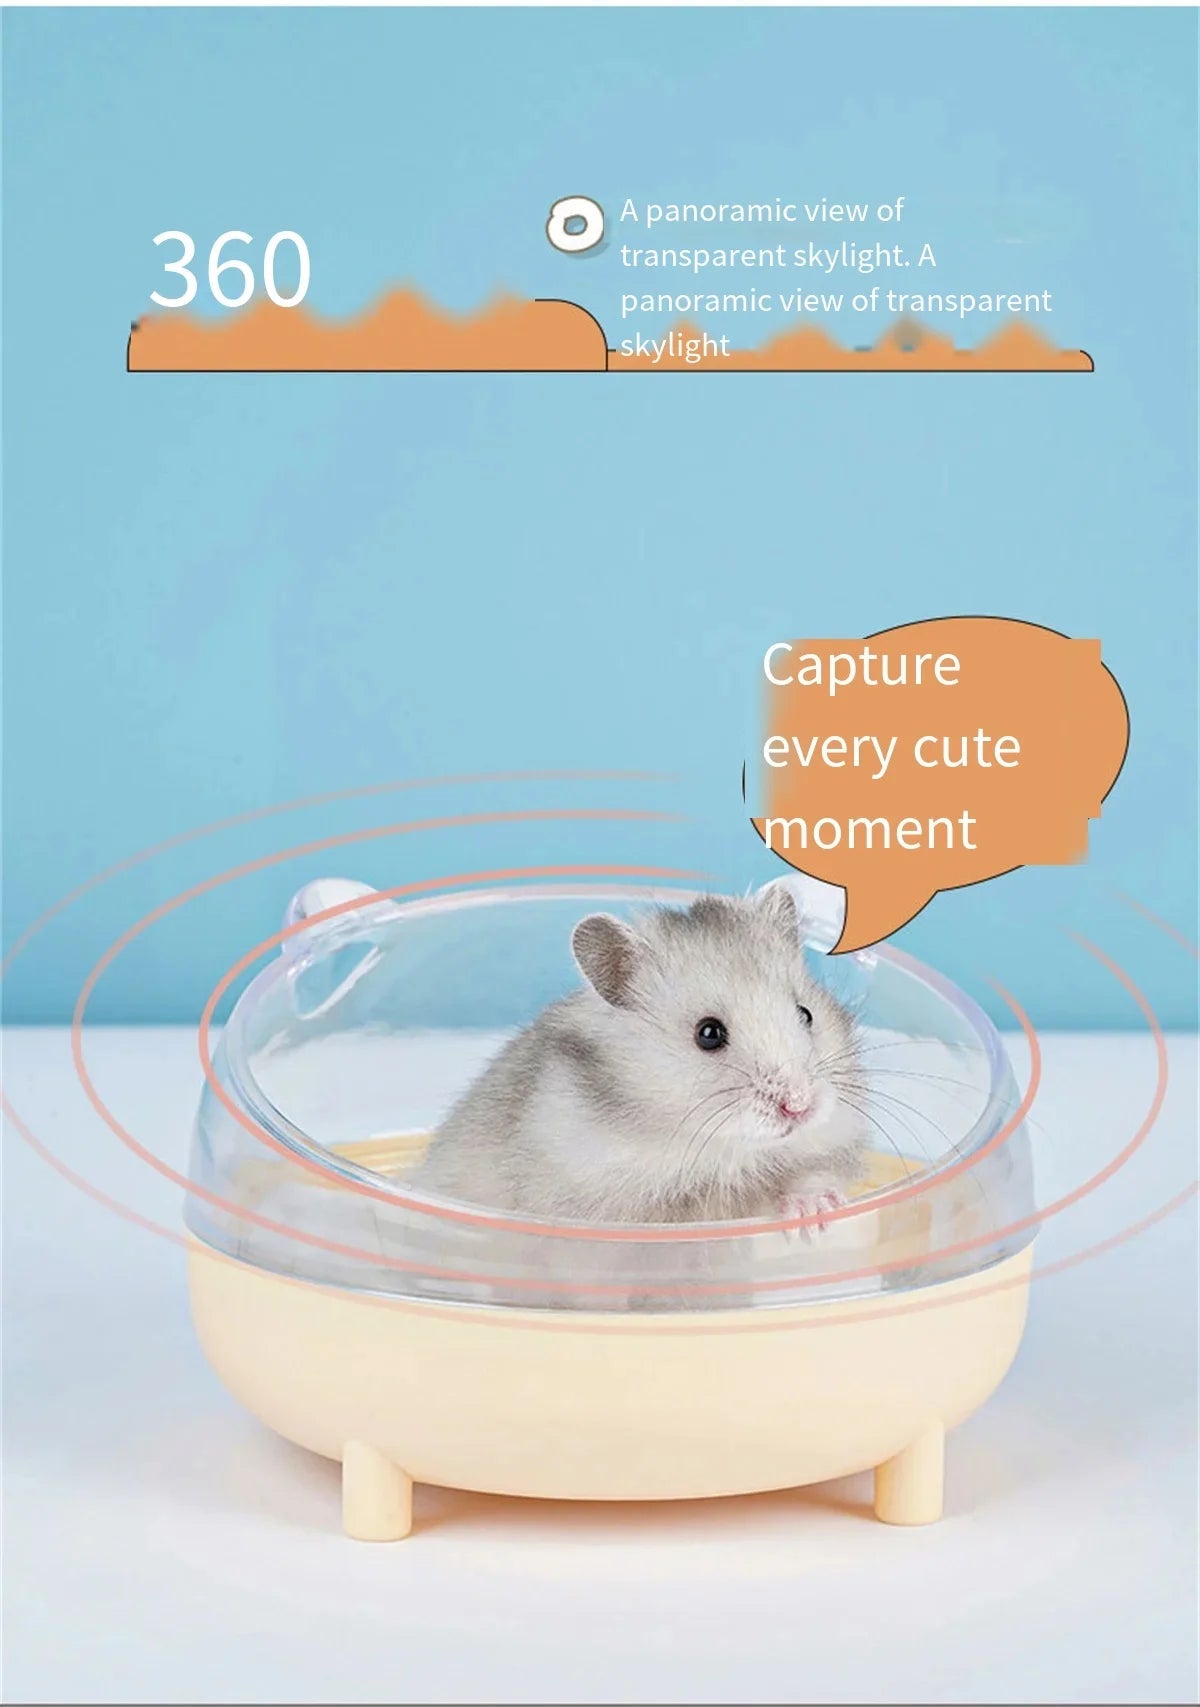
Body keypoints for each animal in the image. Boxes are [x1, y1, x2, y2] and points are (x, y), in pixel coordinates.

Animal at [410, 886, 868, 1229]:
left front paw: (816, 1213)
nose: (801, 1107)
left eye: (805, 1014)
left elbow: (810, 1173)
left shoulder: (824, 1146)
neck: (725, 1150)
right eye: (708, 1034)